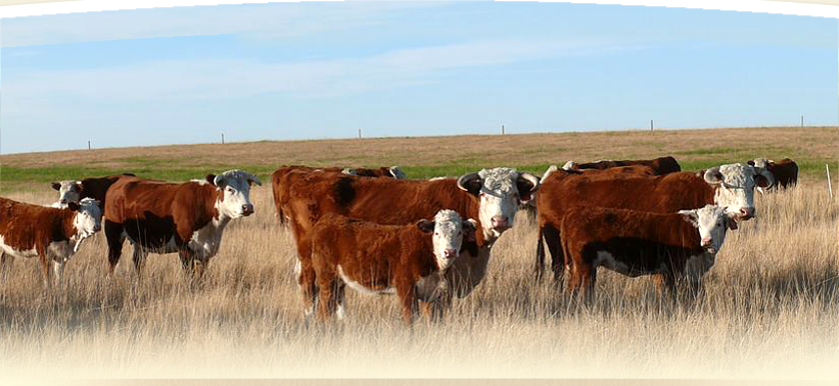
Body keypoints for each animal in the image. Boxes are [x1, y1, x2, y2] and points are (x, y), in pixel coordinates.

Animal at [106, 169, 262, 278]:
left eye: (248, 188)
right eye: (230, 189)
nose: (247, 207)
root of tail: (124, 178)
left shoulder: (205, 252)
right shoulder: (185, 250)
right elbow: (189, 277)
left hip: (140, 241)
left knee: (138, 262)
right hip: (114, 235)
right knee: (113, 260)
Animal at [312, 210, 476, 324]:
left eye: (459, 232)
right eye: (436, 233)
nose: (449, 251)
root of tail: (329, 218)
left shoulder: (432, 293)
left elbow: (432, 320)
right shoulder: (405, 286)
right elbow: (410, 319)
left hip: (339, 282)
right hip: (327, 279)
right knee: (324, 311)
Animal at [560, 204, 740, 300]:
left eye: (719, 223)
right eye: (700, 224)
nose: (707, 241)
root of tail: (573, 212)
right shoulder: (675, 271)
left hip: (580, 266)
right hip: (585, 266)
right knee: (583, 291)